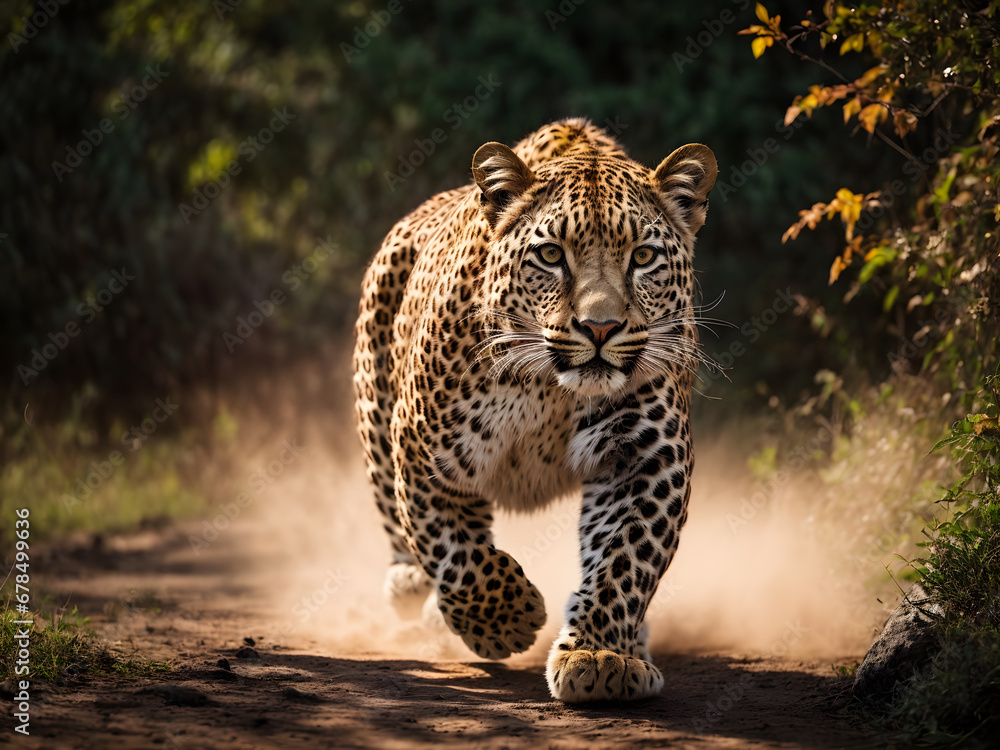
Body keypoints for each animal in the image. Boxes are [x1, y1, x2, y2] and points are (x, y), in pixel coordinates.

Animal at [353, 118, 717, 703]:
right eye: (550, 255)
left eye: (642, 257)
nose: (599, 328)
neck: (551, 389)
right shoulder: (423, 452)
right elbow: (450, 547)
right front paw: (504, 617)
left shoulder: (646, 458)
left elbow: (625, 560)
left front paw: (600, 655)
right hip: (375, 408)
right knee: (401, 522)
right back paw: (415, 591)